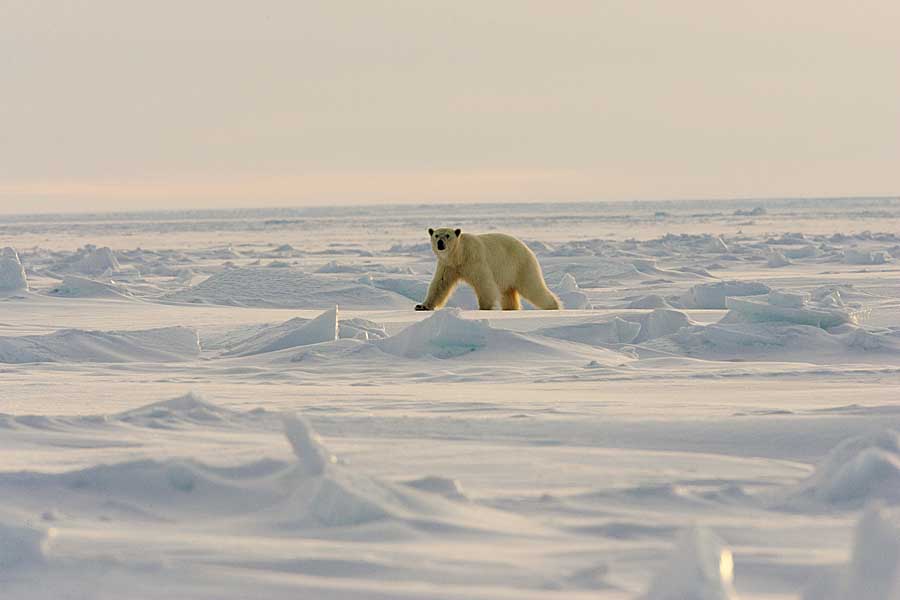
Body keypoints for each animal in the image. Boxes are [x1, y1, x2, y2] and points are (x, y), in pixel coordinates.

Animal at [416, 227, 560, 312]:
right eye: (436, 235)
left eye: (447, 235)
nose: (440, 243)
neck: (460, 255)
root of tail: (527, 248)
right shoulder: (447, 265)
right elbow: (440, 285)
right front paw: (422, 306)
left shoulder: (474, 260)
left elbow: (484, 283)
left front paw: (484, 308)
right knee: (508, 293)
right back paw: (511, 309)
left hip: (521, 265)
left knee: (533, 287)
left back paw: (554, 306)